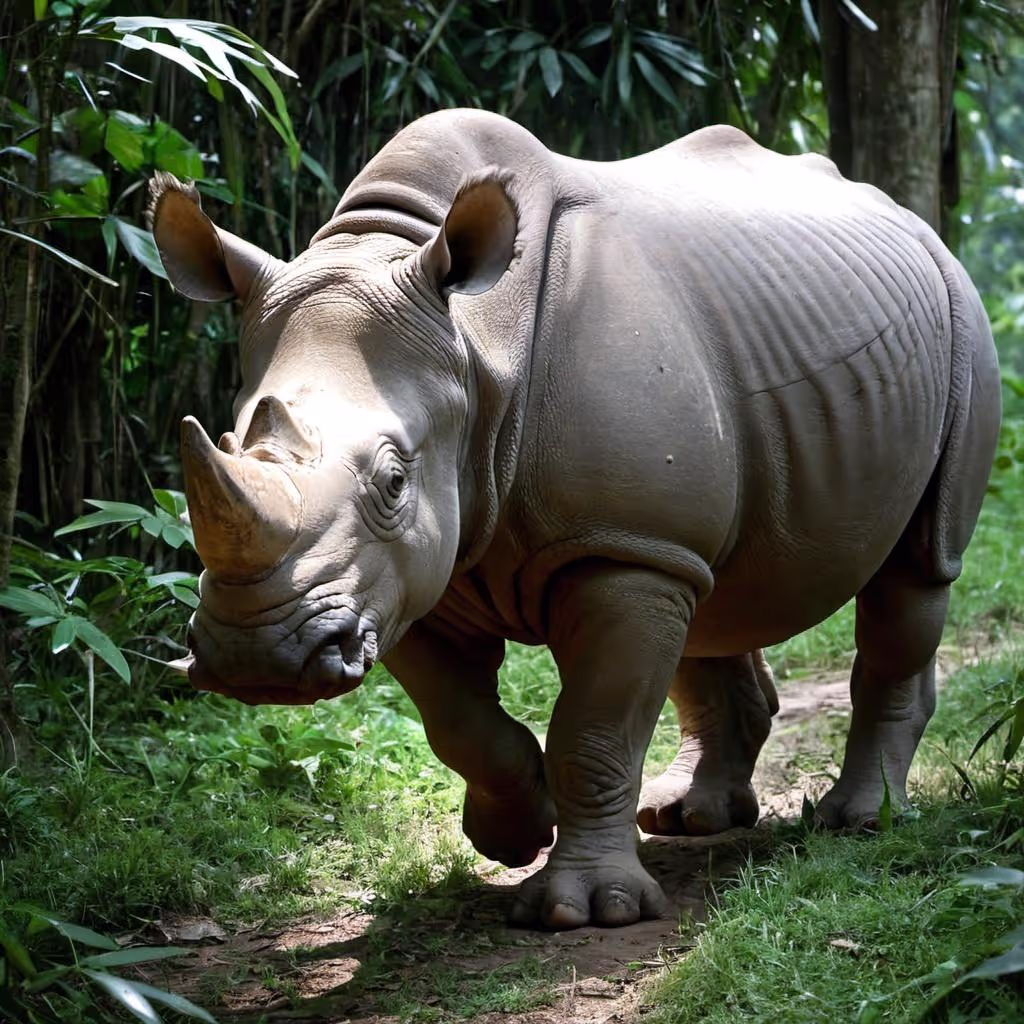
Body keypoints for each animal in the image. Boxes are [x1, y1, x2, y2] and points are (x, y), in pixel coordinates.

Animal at [151, 109, 1000, 930]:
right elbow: (457, 722)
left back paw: (861, 821)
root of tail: (907, 217)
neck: (470, 345)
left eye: (393, 480)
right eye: (226, 444)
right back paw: (686, 816)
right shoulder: (404, 576)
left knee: (916, 568)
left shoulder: (614, 547)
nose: (254, 656)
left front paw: (584, 911)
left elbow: (594, 728)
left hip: (965, 319)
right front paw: (512, 828)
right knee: (707, 596)